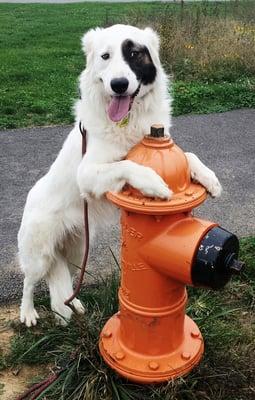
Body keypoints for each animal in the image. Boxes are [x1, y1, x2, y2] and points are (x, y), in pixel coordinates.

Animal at [17, 23, 221, 326]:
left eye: (134, 54)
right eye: (105, 56)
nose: (119, 84)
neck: (127, 122)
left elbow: (188, 155)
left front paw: (208, 177)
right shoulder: (87, 173)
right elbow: (125, 165)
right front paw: (153, 184)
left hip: (77, 251)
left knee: (66, 278)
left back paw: (74, 304)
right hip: (39, 254)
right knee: (29, 282)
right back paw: (28, 312)